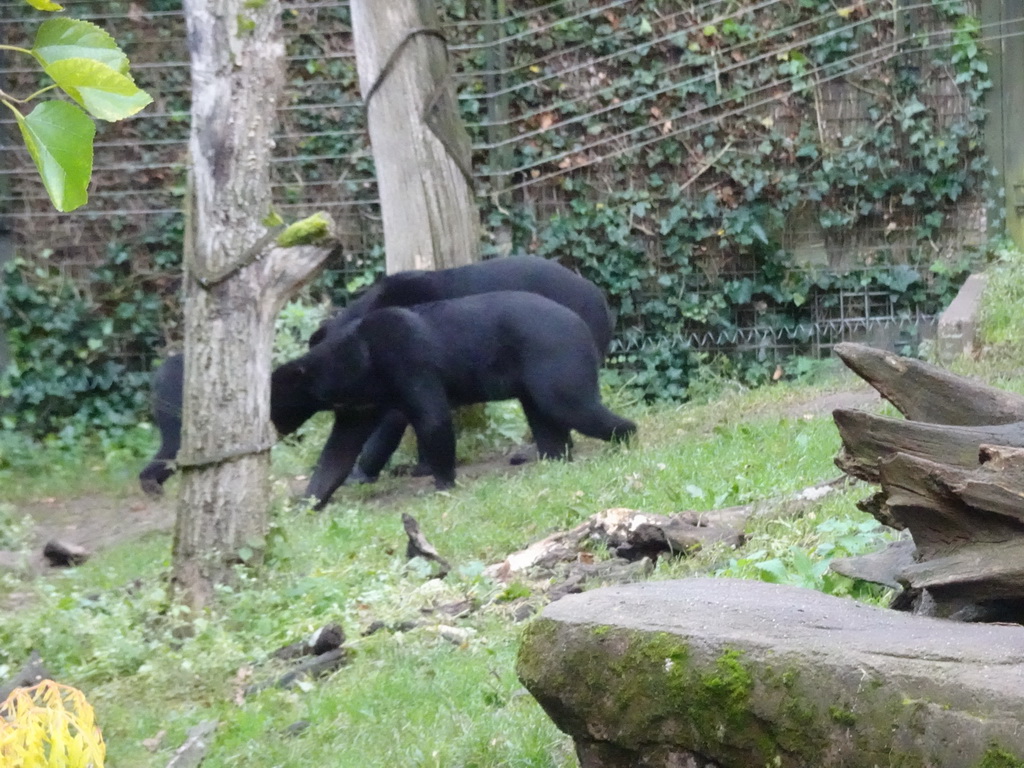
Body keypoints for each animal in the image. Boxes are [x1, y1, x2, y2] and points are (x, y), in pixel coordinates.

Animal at [272, 290, 634, 507]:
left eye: (275, 407)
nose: (276, 432)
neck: (359, 365)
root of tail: (582, 324)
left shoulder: (409, 363)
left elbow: (432, 418)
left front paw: (443, 483)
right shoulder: (359, 404)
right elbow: (339, 450)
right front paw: (308, 502)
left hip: (555, 359)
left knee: (574, 406)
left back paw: (626, 436)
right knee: (547, 420)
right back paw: (555, 457)